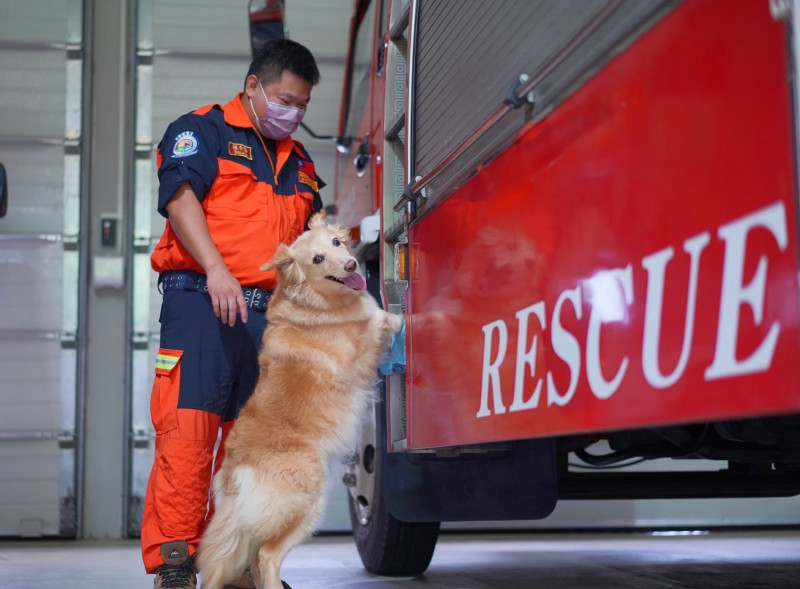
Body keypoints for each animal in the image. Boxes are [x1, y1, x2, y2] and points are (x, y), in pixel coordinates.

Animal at [198, 212, 404, 588]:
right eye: (317, 260)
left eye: (336, 243)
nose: (352, 264)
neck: (315, 302)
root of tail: (233, 472)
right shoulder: (357, 354)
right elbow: (378, 319)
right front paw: (397, 319)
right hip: (306, 502)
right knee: (267, 557)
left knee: (246, 560)